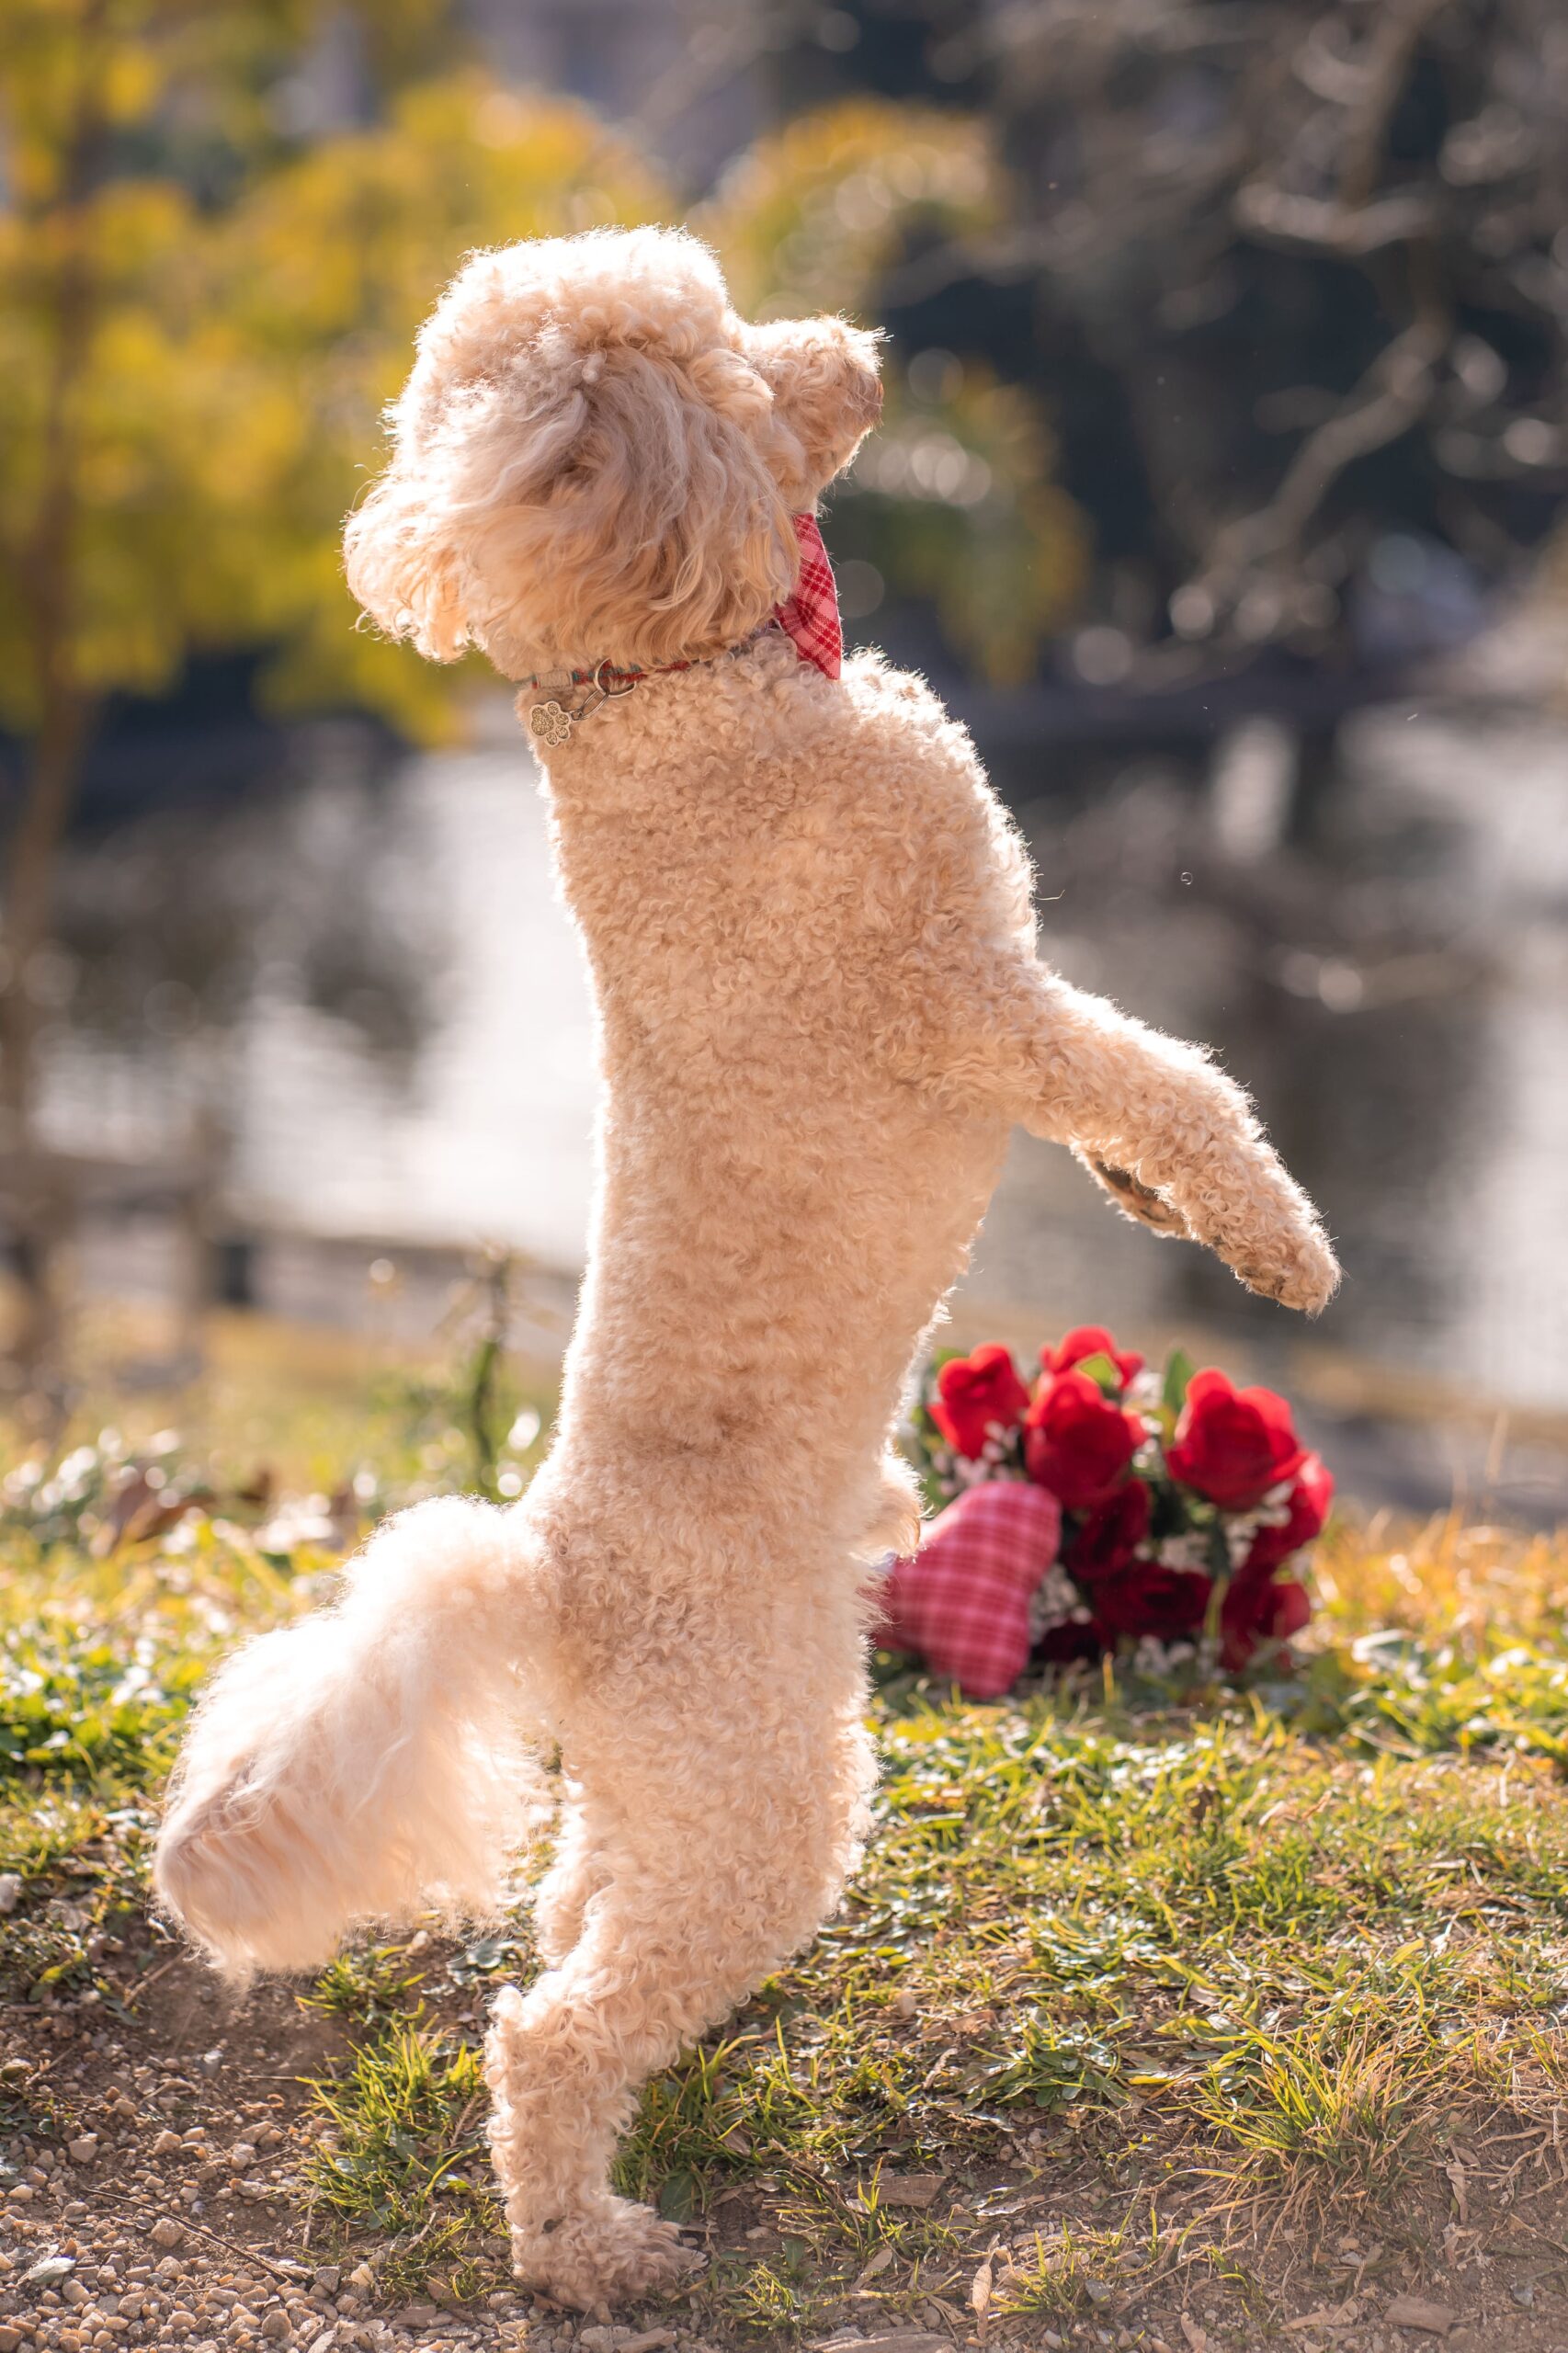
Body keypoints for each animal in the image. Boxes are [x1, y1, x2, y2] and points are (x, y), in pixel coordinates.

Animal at [155, 229, 1327, 2305]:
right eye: (722, 343)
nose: (862, 342)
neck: (675, 686)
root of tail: (551, 1569)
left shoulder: (999, 1000)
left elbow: (1133, 1111)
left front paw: (1153, 1205)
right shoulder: (972, 997)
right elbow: (1171, 1077)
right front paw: (1269, 1236)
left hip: (661, 1805)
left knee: (575, 1923)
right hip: (766, 1797)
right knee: (548, 2033)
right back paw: (589, 2245)